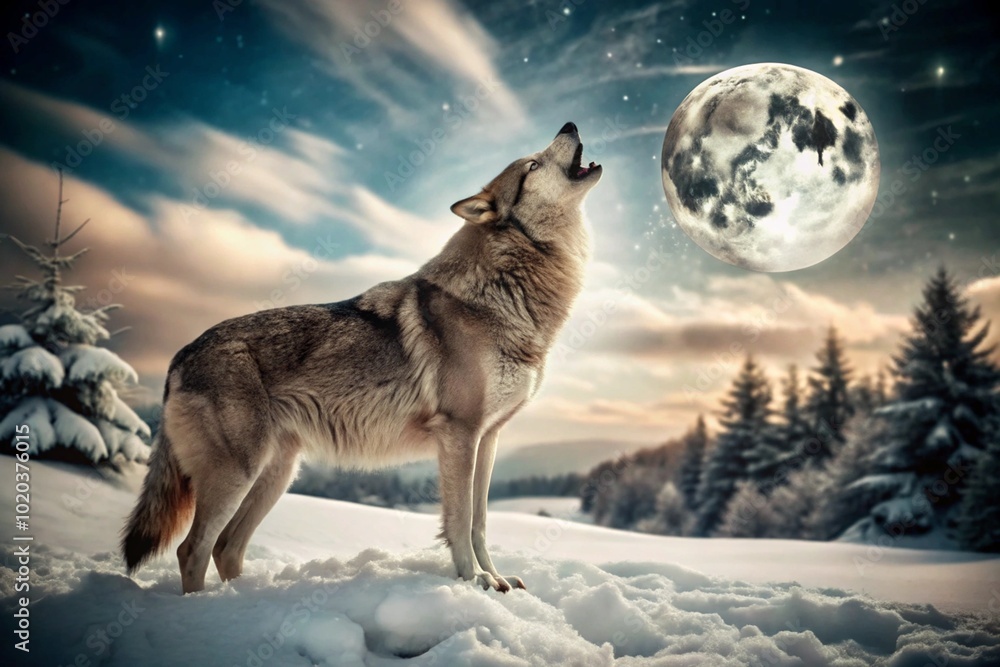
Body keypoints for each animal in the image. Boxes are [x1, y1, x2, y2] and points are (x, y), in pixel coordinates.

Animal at [121, 122, 602, 594]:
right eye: (532, 164)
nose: (570, 124)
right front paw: (475, 582)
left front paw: (497, 579)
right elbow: (461, 521)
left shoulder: (489, 438)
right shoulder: (460, 434)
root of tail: (179, 355)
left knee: (226, 548)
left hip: (278, 474)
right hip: (238, 474)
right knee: (192, 550)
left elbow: (481, 522)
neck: (506, 290)